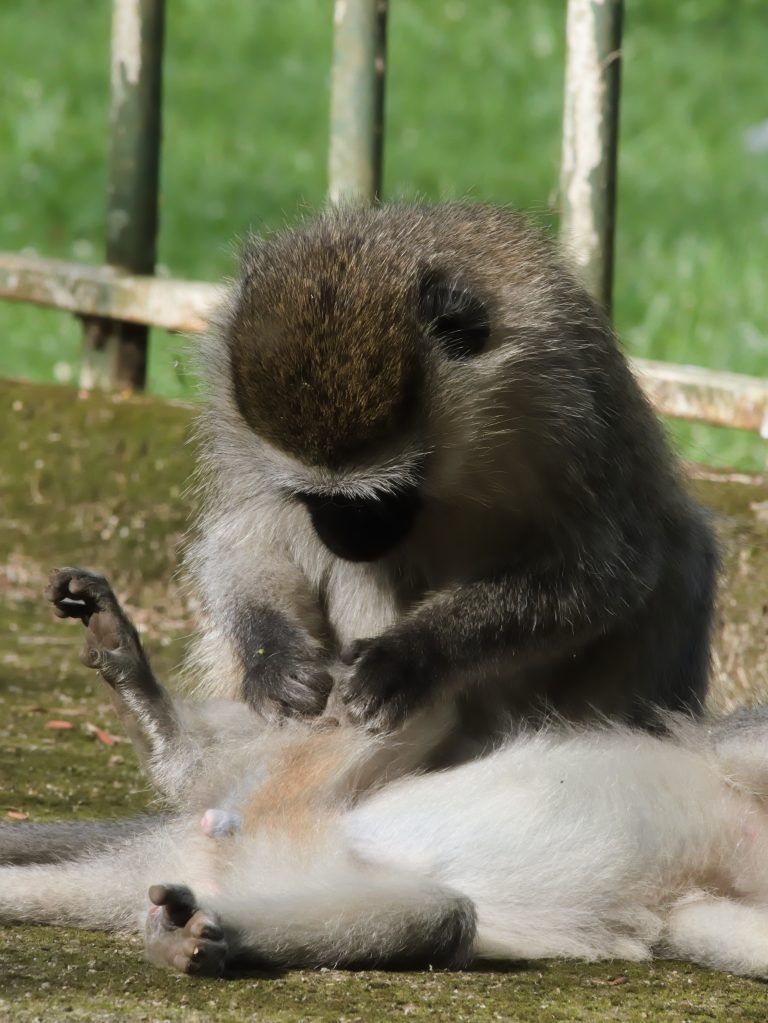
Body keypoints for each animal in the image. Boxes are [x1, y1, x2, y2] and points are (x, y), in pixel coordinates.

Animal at [1, 572, 768, 977]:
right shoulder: (731, 745)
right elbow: (737, 749)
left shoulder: (705, 902)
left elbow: (705, 928)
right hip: (287, 786)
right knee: (417, 695)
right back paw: (162, 726)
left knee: (440, 916)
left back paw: (211, 936)